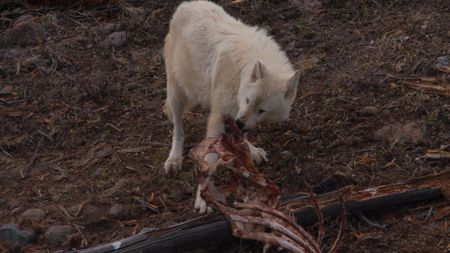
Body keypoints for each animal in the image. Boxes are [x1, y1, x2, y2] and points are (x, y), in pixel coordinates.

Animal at [163, 0, 300, 194]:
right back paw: (174, 159)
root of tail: (187, 4)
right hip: (176, 93)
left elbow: (241, 137)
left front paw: (250, 152)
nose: (240, 123)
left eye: (262, 110)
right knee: (177, 129)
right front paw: (204, 195)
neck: (241, 71)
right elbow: (210, 161)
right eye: (247, 100)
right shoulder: (219, 118)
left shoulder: (238, 116)